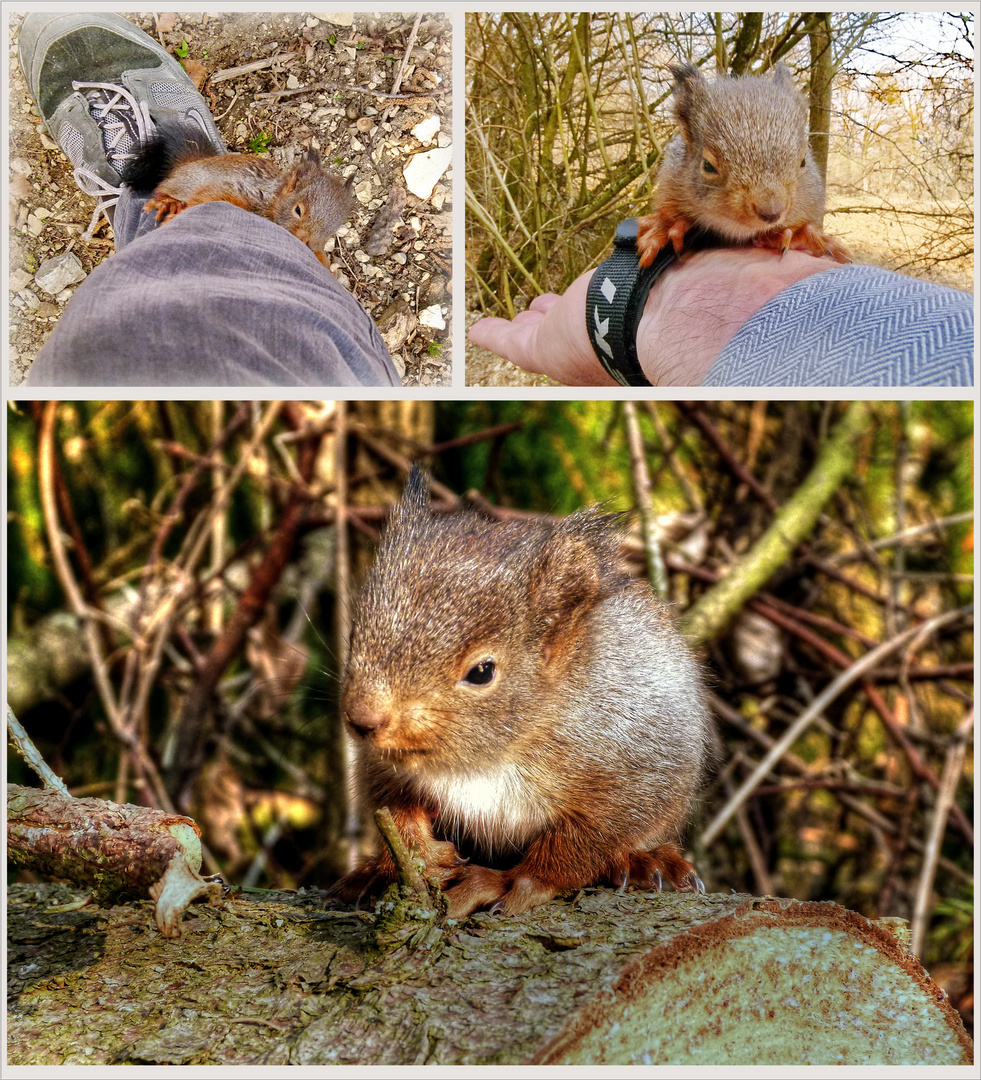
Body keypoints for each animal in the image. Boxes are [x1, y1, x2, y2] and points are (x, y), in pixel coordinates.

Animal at [120, 119, 354, 266]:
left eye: (333, 229)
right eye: (298, 210)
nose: (308, 244)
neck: (273, 201)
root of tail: (190, 163)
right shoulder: (242, 190)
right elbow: (211, 196)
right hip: (184, 182)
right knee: (163, 188)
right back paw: (169, 202)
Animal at [330, 466, 713, 920]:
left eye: (482, 672)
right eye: (354, 634)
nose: (362, 718)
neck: (482, 760)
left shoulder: (634, 761)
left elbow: (585, 839)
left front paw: (511, 882)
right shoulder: (383, 767)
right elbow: (395, 806)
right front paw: (418, 852)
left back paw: (647, 862)